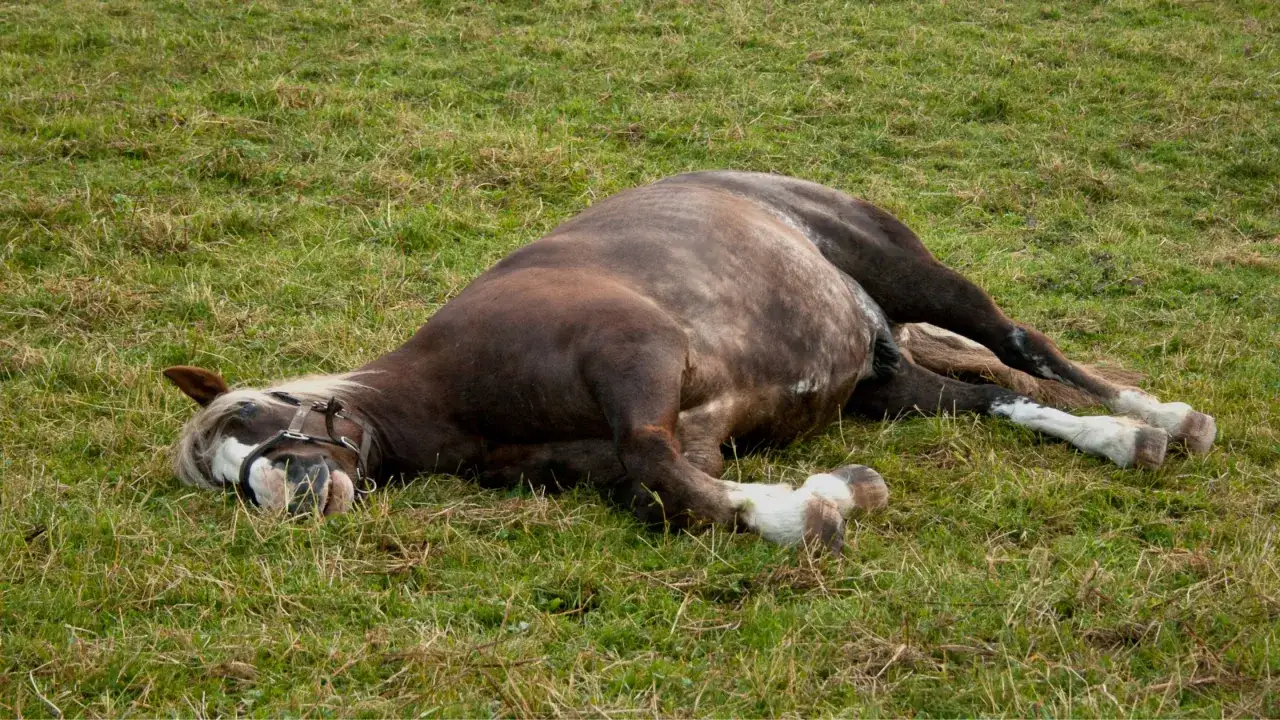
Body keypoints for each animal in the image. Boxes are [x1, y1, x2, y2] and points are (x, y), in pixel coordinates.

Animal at [165, 171, 1216, 552]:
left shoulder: (641, 360)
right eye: (220, 477)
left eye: (254, 413)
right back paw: (1119, 437)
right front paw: (829, 494)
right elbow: (675, 493)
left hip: (917, 278)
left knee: (1022, 345)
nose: (282, 497)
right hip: (889, 384)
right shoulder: (681, 438)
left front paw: (814, 510)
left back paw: (1161, 416)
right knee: (994, 396)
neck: (454, 390)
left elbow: (656, 465)